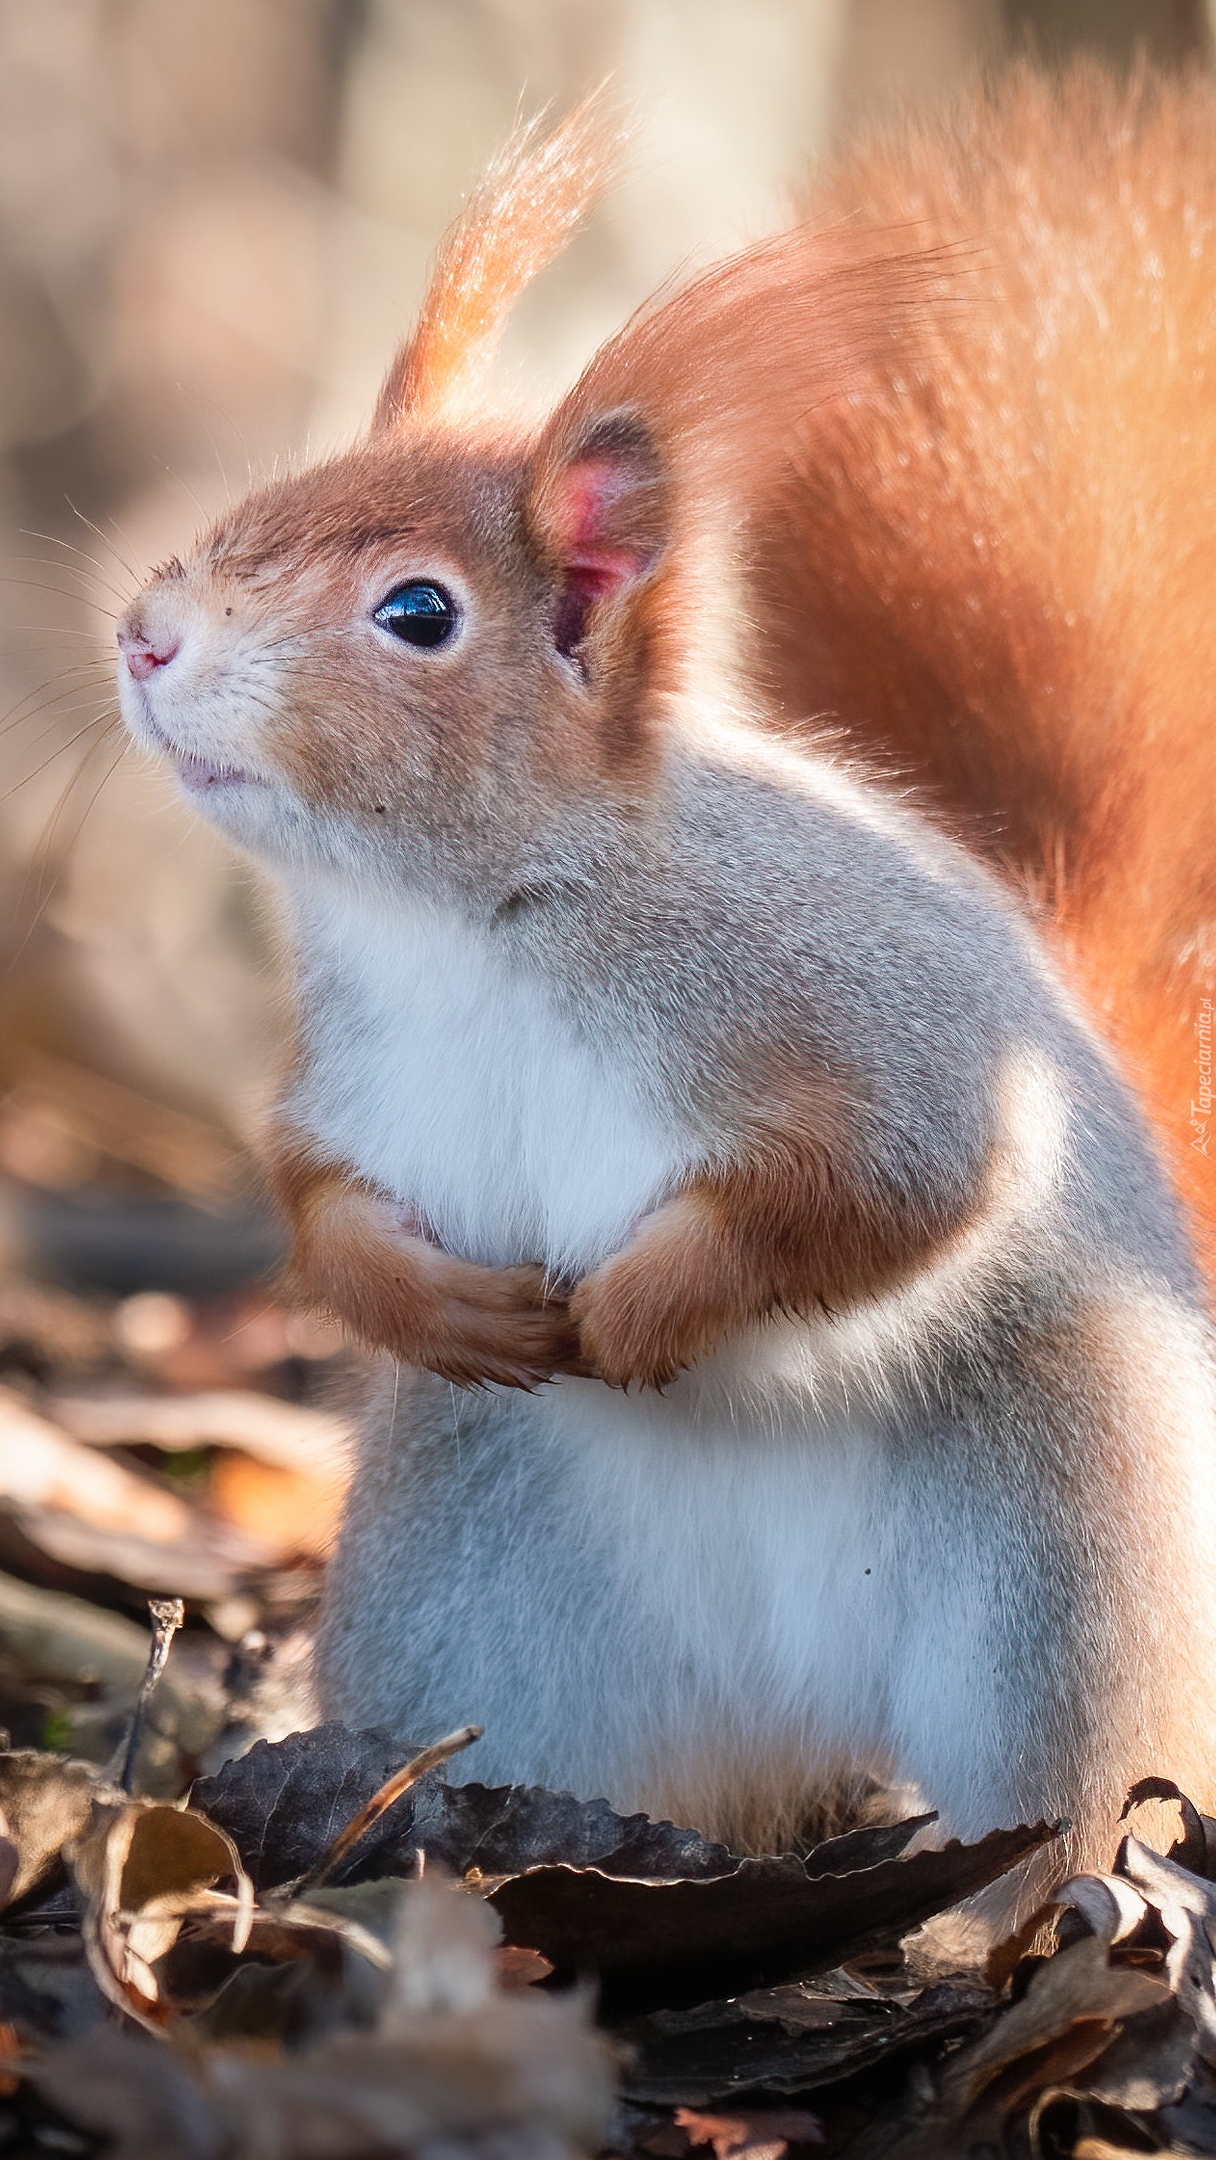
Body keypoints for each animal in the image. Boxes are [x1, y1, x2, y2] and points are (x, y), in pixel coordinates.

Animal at [114, 92, 1216, 1900]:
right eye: (277, 494)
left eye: (416, 612)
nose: (144, 636)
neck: (464, 930)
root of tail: (801, 1706)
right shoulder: (347, 1079)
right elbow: (316, 1200)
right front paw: (439, 1308)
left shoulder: (851, 1012)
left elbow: (885, 1187)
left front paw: (642, 1309)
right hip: (483, 1620)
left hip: (1064, 1582)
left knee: (1066, 1806)